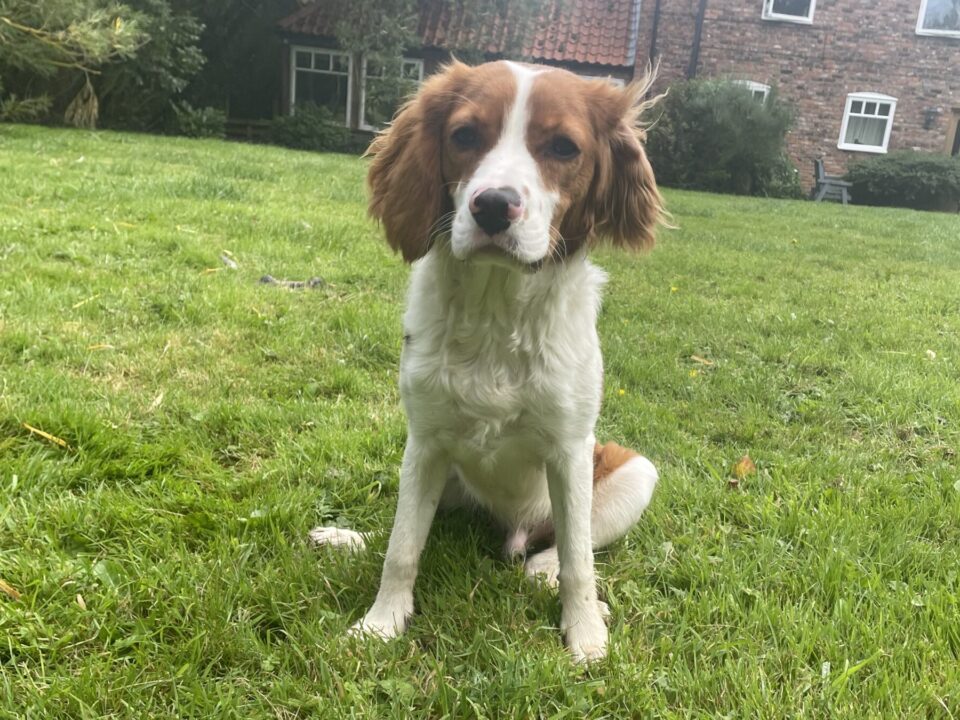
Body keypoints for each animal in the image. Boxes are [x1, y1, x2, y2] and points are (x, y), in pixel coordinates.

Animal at [312, 59, 664, 660]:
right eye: (465, 136)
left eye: (564, 147)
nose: (494, 205)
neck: (498, 310)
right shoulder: (425, 442)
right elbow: (402, 545)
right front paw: (382, 622)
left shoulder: (571, 450)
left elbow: (579, 559)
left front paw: (585, 633)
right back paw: (347, 538)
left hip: (636, 473)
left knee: (562, 547)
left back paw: (543, 571)